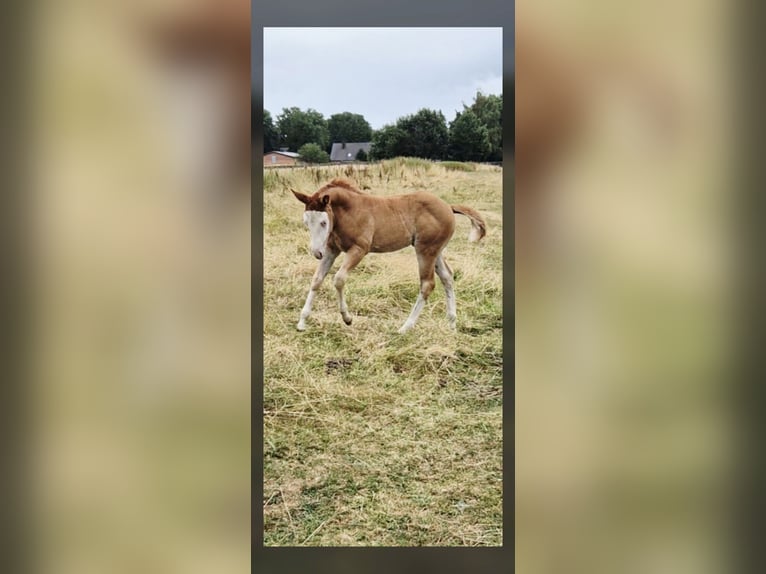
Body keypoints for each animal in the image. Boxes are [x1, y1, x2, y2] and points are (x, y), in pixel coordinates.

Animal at [291, 178, 486, 334]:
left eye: (324, 222)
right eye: (306, 222)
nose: (317, 252)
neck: (350, 211)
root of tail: (448, 207)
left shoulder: (359, 249)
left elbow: (338, 279)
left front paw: (347, 318)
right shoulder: (331, 250)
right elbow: (317, 280)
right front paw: (302, 321)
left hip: (425, 250)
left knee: (427, 284)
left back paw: (405, 328)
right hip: (435, 250)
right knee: (447, 277)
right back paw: (452, 324)